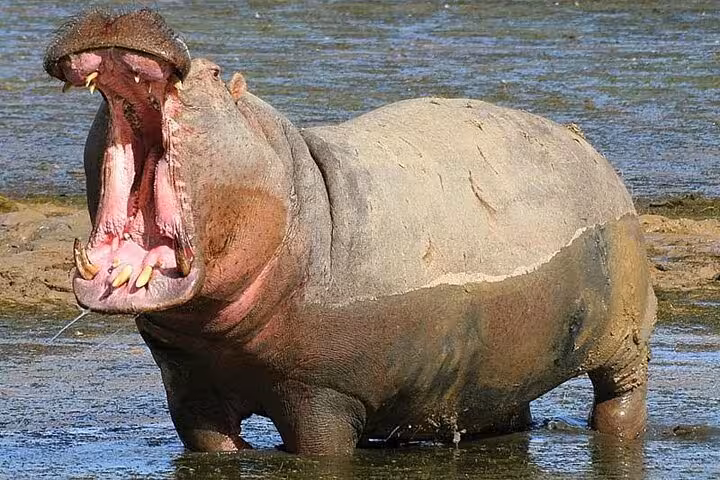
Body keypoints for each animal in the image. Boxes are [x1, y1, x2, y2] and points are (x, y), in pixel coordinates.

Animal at [44, 9, 656, 455]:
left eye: (215, 74)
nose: (113, 15)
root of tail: (592, 150)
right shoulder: (190, 388)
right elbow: (212, 444)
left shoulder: (325, 396)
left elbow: (321, 448)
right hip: (498, 372)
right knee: (506, 408)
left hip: (626, 338)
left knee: (621, 397)